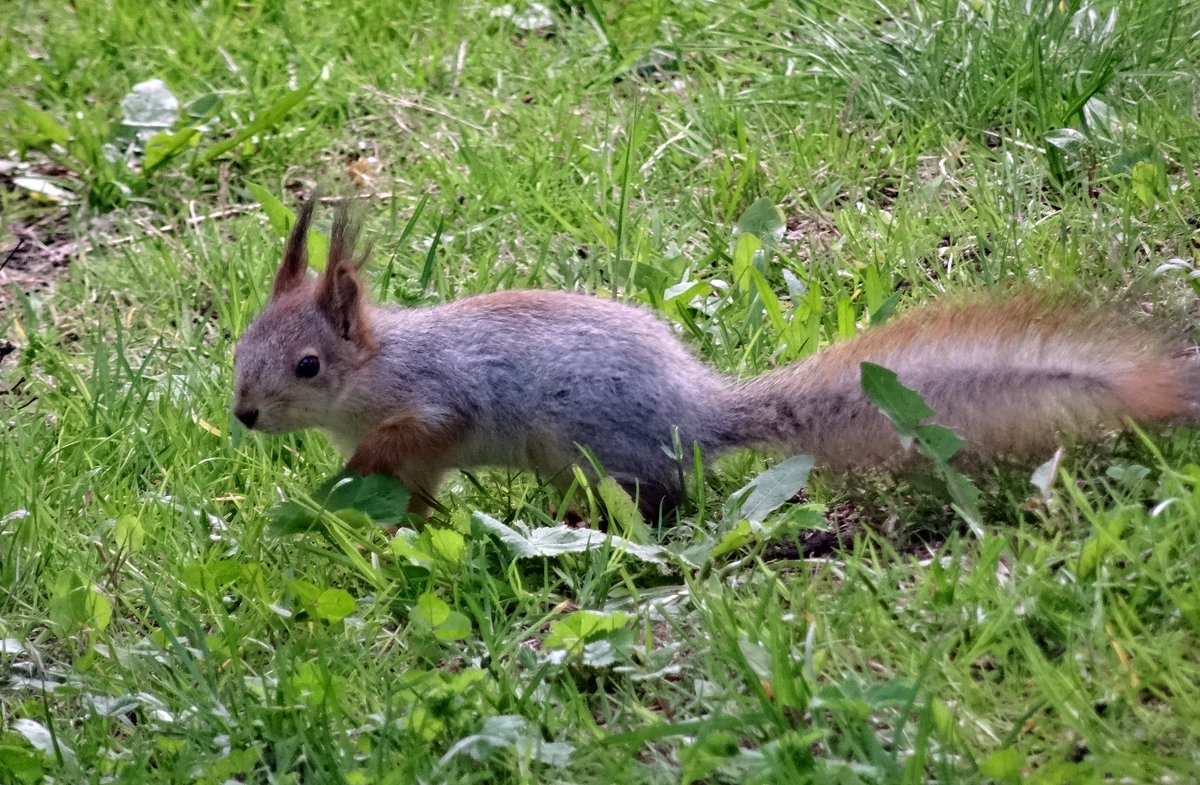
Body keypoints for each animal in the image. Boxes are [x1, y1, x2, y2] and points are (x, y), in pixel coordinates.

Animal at [234, 202, 1200, 520]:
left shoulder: (437, 402)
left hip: (585, 445)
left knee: (658, 497)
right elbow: (413, 497)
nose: (244, 413)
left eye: (308, 365)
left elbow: (418, 436)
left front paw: (350, 475)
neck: (375, 369)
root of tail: (696, 412)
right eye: (242, 345)